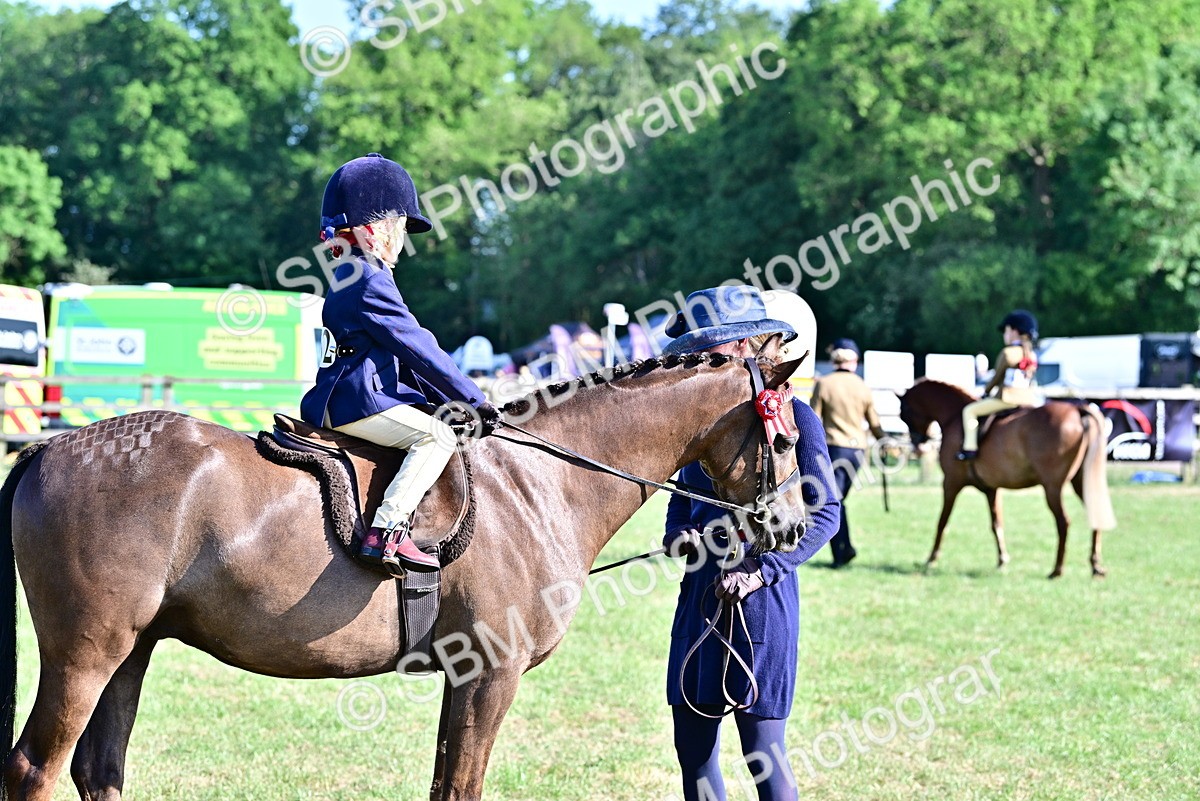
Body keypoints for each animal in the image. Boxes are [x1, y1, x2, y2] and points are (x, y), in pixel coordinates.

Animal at [1, 346, 807, 801]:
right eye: (788, 438)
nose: (795, 526)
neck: (538, 481)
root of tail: (53, 446)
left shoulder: (468, 679)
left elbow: (445, 783)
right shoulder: (489, 675)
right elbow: (460, 787)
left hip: (131, 652)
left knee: (98, 770)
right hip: (85, 656)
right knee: (35, 770)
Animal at [897, 379, 1116, 579]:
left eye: (903, 413)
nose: (918, 443)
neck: (954, 417)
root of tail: (1077, 410)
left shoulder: (951, 482)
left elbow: (943, 521)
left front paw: (931, 559)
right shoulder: (991, 489)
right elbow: (996, 524)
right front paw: (1002, 560)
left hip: (1052, 487)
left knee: (1063, 522)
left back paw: (1057, 570)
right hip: (1080, 482)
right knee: (1094, 515)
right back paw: (1096, 566)